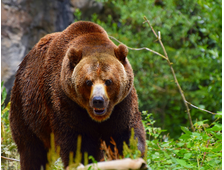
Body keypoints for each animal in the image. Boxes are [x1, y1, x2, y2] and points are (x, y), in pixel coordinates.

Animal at [9, 20, 145, 169]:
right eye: (88, 81)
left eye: (108, 81)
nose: (98, 100)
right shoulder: (66, 101)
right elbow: (79, 143)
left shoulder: (122, 104)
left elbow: (126, 135)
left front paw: (132, 157)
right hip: (27, 108)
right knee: (32, 150)